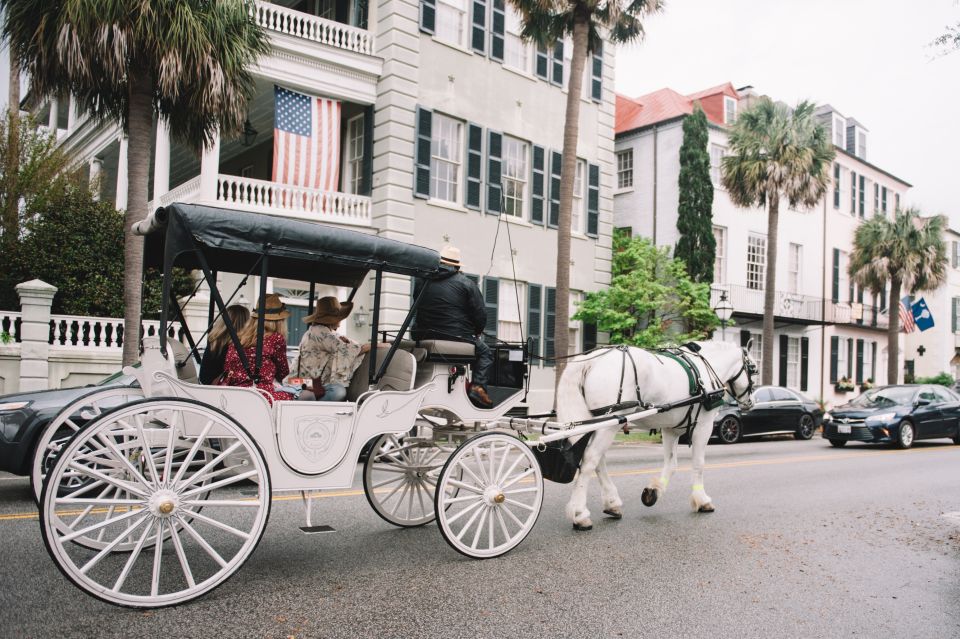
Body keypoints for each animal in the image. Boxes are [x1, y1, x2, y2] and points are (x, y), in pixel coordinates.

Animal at [556, 342, 756, 532]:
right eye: (753, 369)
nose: (750, 403)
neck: (703, 371)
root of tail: (592, 359)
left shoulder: (671, 429)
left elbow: (671, 464)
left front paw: (654, 491)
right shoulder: (703, 425)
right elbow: (698, 464)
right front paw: (702, 500)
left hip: (597, 422)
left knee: (598, 460)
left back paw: (612, 503)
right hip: (612, 421)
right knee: (590, 459)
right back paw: (580, 514)